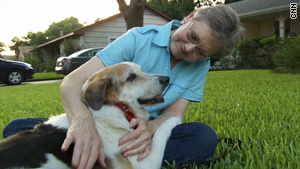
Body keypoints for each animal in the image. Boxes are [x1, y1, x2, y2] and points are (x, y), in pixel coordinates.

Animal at [0, 62, 182, 169]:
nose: (166, 79)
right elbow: (160, 134)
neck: (115, 106)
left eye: (142, 70)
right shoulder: (141, 164)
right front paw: (174, 118)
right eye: (131, 77)